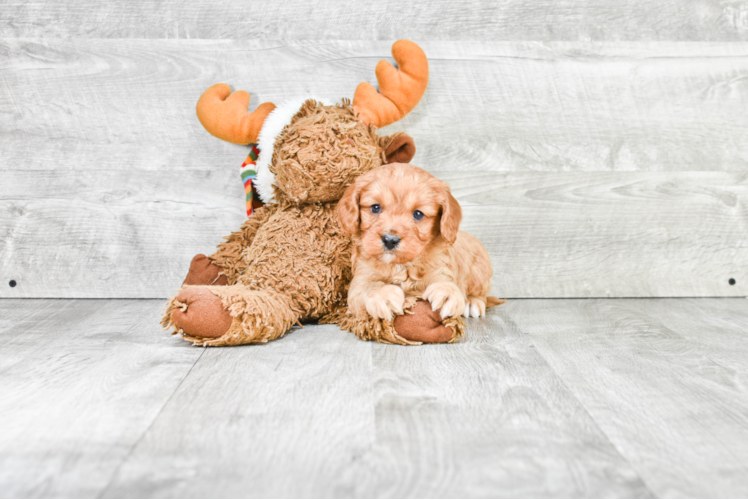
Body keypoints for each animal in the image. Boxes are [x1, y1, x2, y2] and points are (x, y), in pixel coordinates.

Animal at [338, 162, 502, 322]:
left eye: (418, 214)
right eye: (375, 207)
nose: (390, 240)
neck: (402, 265)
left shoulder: (442, 269)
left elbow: (447, 282)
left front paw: (447, 293)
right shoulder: (360, 278)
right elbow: (368, 286)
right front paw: (384, 295)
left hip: (479, 272)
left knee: (482, 294)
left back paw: (472, 302)